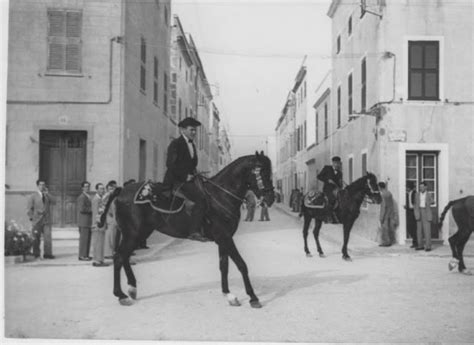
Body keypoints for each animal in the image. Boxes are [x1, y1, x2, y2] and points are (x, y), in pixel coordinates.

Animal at [102, 152, 276, 306]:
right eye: (262, 171)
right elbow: (241, 265)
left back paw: (132, 288)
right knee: (119, 257)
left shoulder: (223, 239)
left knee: (124, 257)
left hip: (137, 233)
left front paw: (228, 295)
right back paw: (121, 295)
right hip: (133, 233)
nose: (271, 198)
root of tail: (122, 190)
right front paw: (253, 297)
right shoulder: (225, 237)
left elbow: (224, 266)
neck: (220, 195)